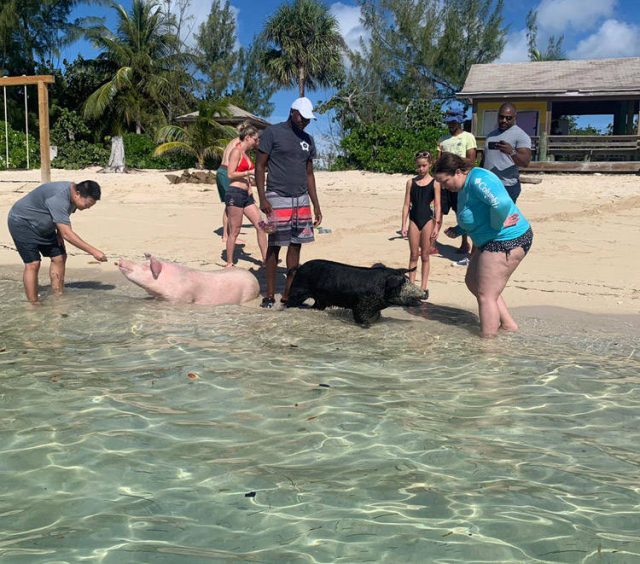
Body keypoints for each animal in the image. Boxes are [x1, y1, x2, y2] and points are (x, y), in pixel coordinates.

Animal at [286, 259, 424, 326]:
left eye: (408, 280)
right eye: (403, 283)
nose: (425, 292)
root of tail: (300, 267)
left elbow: (377, 316)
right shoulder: (360, 304)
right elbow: (360, 317)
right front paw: (366, 326)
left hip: (320, 300)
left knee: (317, 306)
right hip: (297, 290)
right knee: (288, 303)